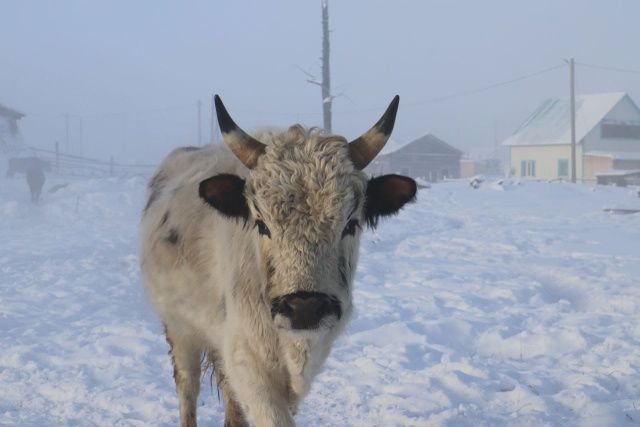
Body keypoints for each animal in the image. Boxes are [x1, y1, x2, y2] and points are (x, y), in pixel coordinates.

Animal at [140, 95, 416, 427]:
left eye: (351, 224)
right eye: (261, 224)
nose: (304, 308)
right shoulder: (248, 364)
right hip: (180, 329)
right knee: (187, 387)